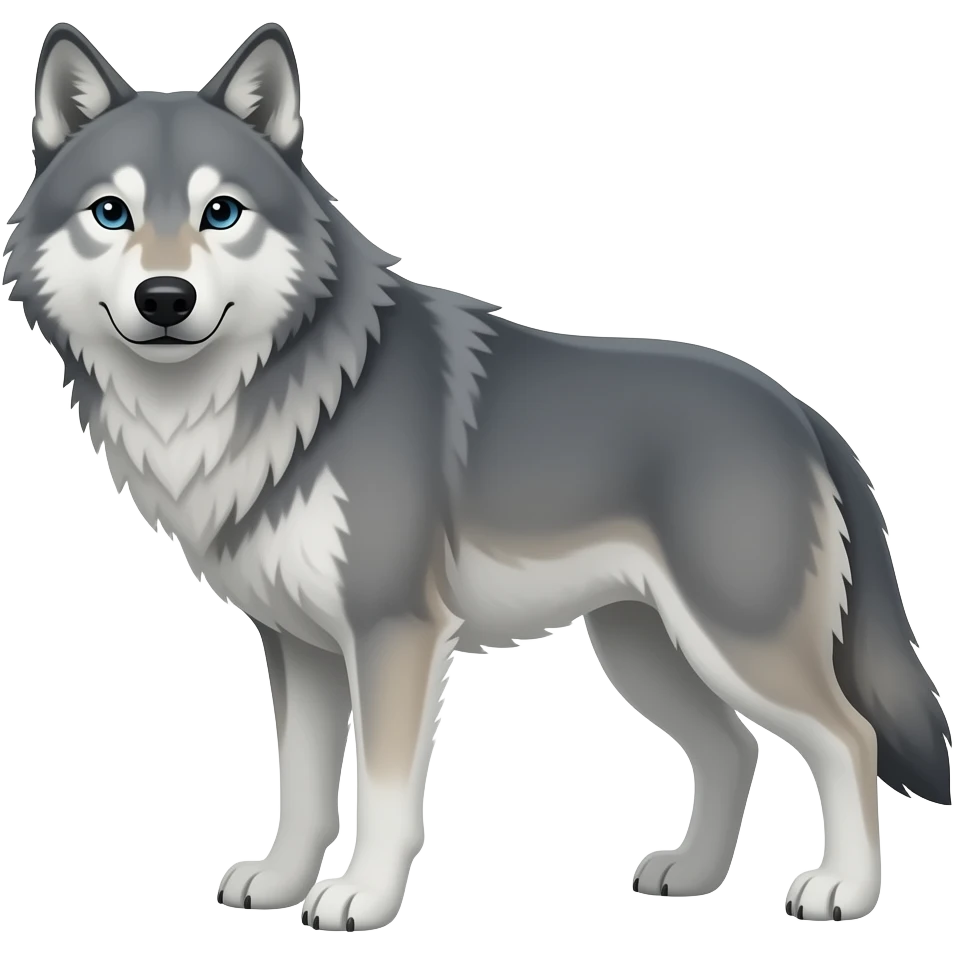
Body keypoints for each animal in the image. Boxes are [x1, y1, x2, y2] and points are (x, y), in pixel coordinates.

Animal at [4, 19, 950, 932]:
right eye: (112, 213)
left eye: (222, 212)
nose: (165, 299)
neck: (287, 393)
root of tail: (800, 412)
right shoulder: (299, 646)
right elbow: (302, 788)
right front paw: (279, 883)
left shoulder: (394, 632)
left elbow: (383, 792)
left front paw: (360, 899)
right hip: (644, 650)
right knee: (734, 746)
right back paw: (689, 876)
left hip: (735, 643)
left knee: (848, 739)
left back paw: (842, 892)